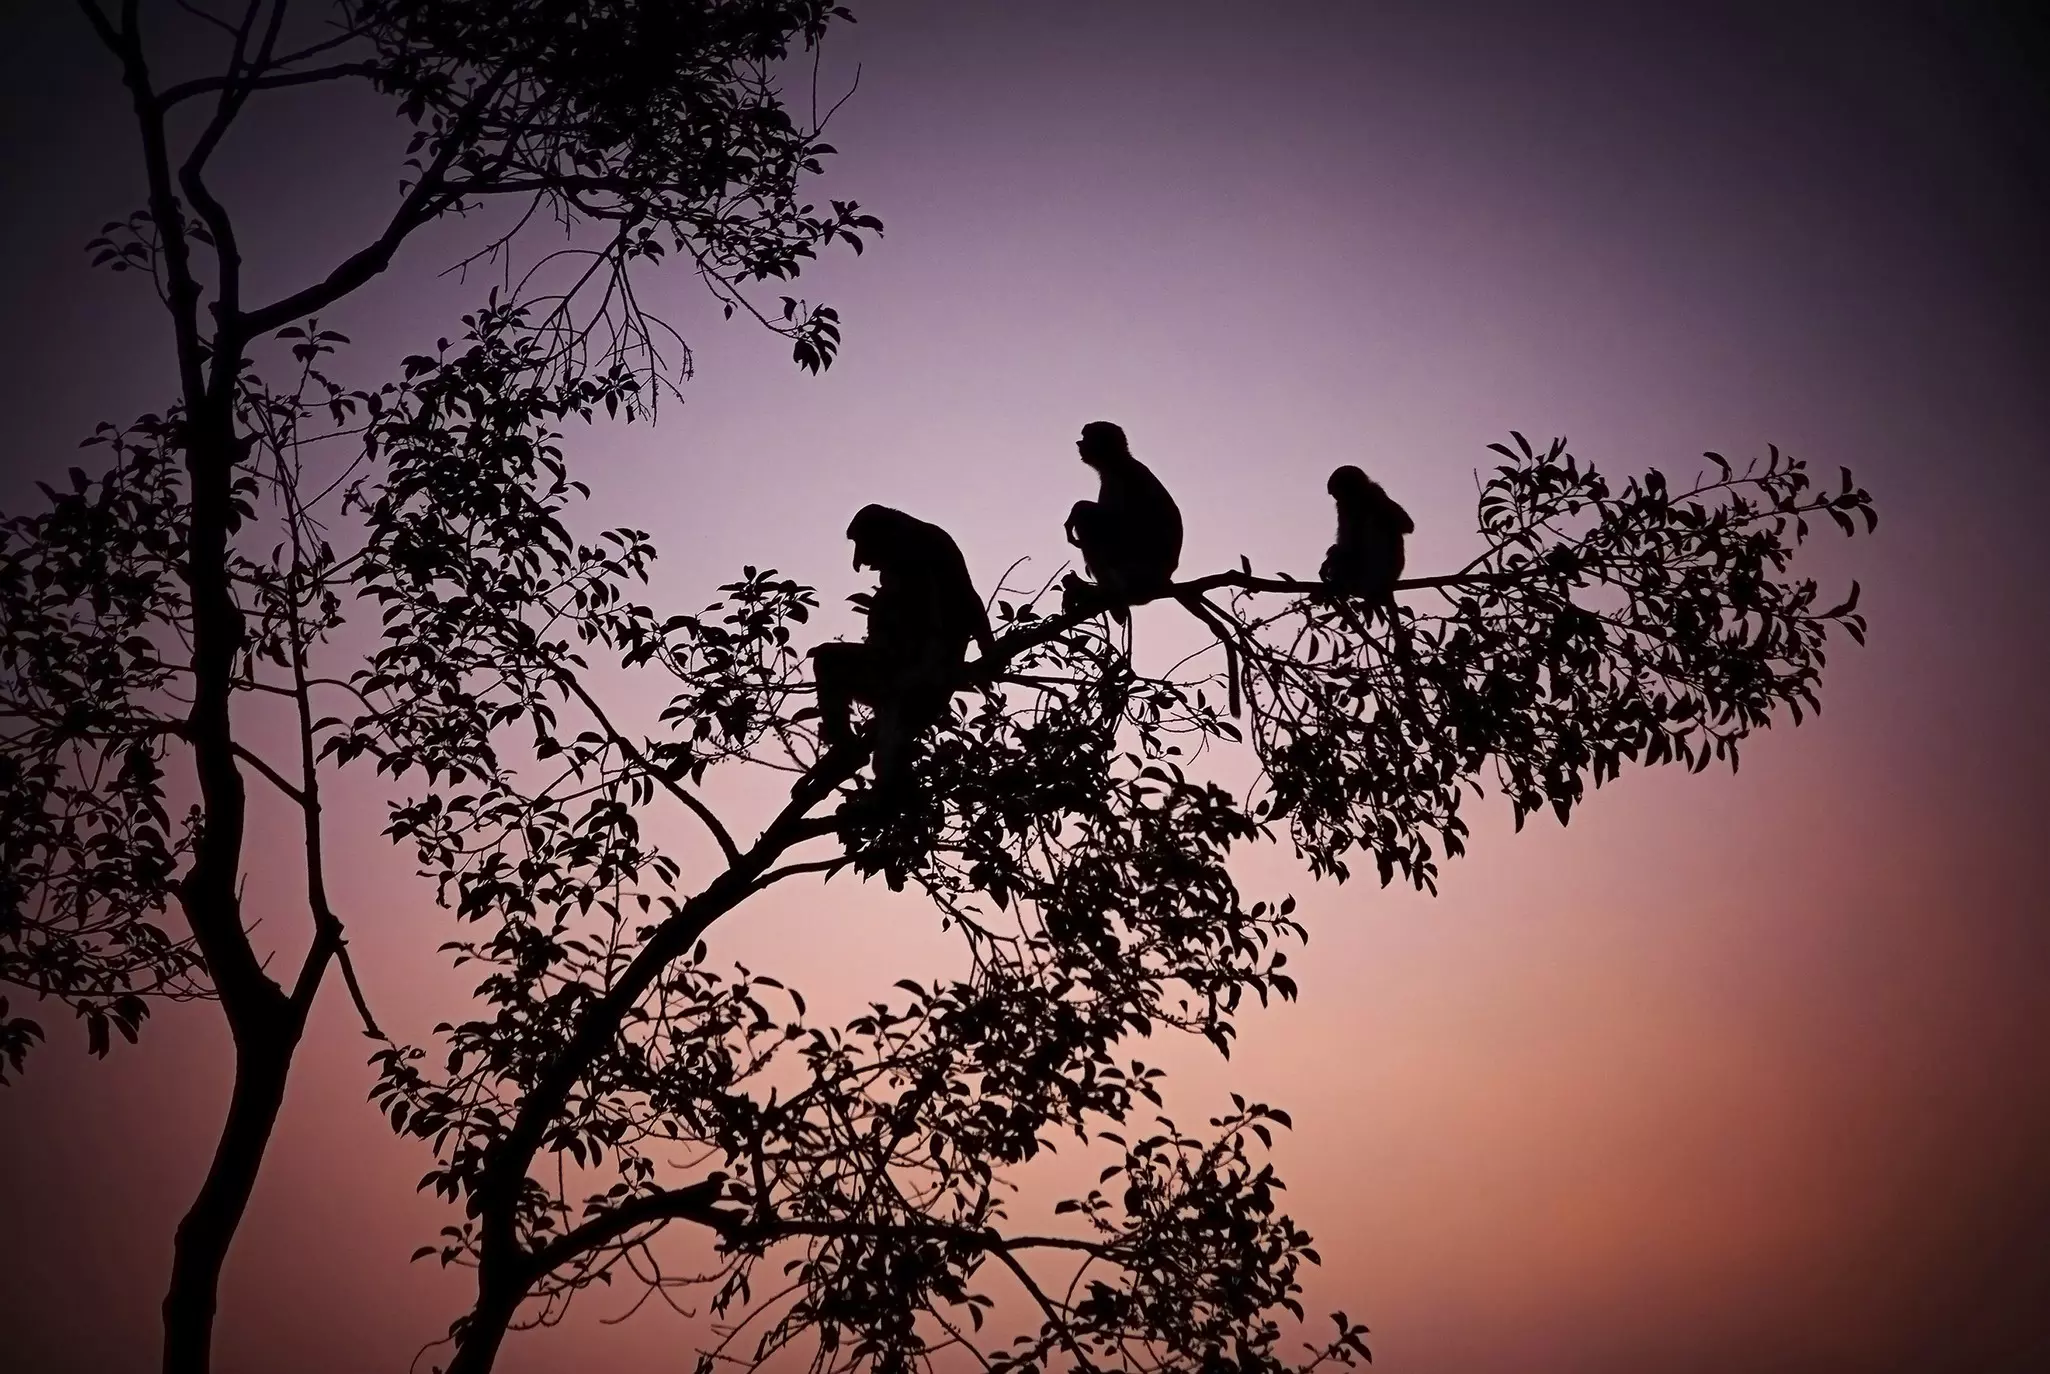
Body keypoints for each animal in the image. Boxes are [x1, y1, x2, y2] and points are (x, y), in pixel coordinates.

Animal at [808, 504, 997, 798]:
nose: (857, 561)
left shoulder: (909, 551)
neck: (908, 529)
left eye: (860, 541)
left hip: (894, 673)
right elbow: (967, 596)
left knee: (831, 659)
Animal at [1062, 421, 1183, 623]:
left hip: (1133, 563)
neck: (1117, 461)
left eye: (1086, 437)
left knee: (1089, 521)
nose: (1079, 442)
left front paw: (1076, 509)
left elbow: (1120, 521)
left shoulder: (1119, 477)